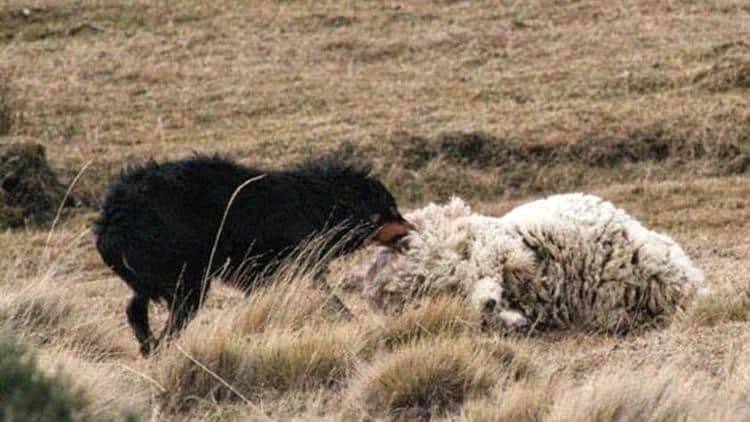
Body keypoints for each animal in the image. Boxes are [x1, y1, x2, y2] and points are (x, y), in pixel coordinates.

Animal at [94, 155, 414, 356]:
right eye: (390, 210)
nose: (415, 230)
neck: (321, 202)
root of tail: (114, 216)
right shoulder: (295, 265)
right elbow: (329, 299)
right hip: (188, 279)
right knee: (172, 321)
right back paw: (163, 350)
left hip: (153, 276)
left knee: (135, 309)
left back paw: (148, 347)